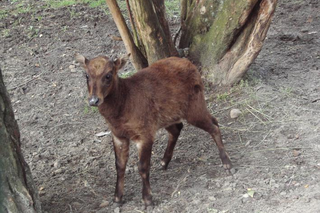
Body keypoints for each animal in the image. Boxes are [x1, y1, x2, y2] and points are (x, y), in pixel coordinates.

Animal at [76, 53, 231, 206]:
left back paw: (227, 164)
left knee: (214, 125)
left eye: (108, 75)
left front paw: (148, 199)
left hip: (194, 106)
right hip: (168, 116)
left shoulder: (145, 133)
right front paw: (117, 198)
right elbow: (119, 165)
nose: (94, 100)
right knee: (179, 128)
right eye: (86, 75)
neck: (124, 105)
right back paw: (164, 162)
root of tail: (191, 64)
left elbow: (143, 167)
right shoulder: (118, 134)